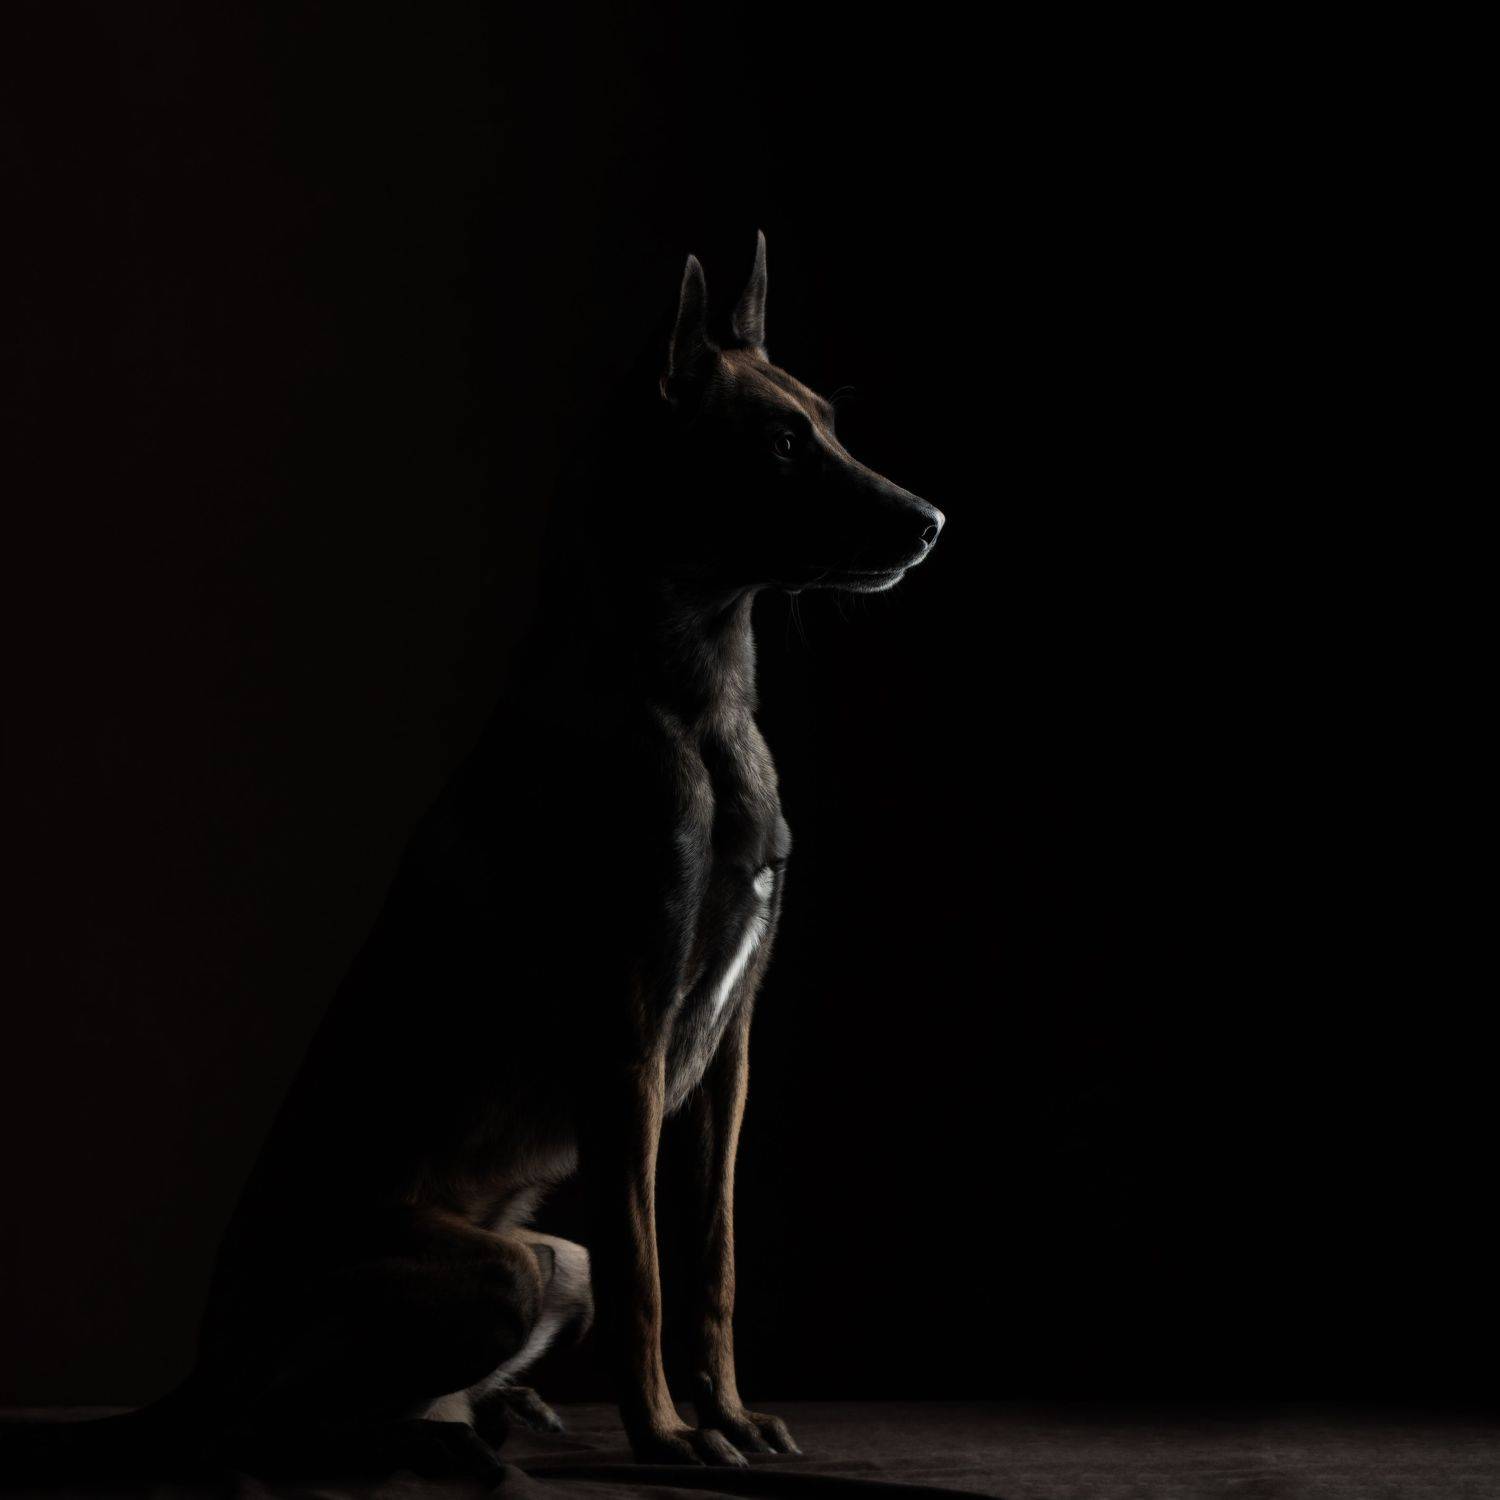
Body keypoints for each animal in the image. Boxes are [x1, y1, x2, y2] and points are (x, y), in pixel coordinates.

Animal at [3, 233, 943, 1483]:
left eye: (828, 426)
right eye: (782, 443)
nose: (931, 521)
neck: (694, 698)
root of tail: (198, 1370)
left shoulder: (727, 1057)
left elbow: (713, 1262)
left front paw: (729, 1415)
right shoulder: (625, 1045)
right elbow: (649, 1272)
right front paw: (665, 1436)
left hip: (551, 1261)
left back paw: (492, 1416)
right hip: (504, 1264)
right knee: (264, 1424)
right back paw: (443, 1440)